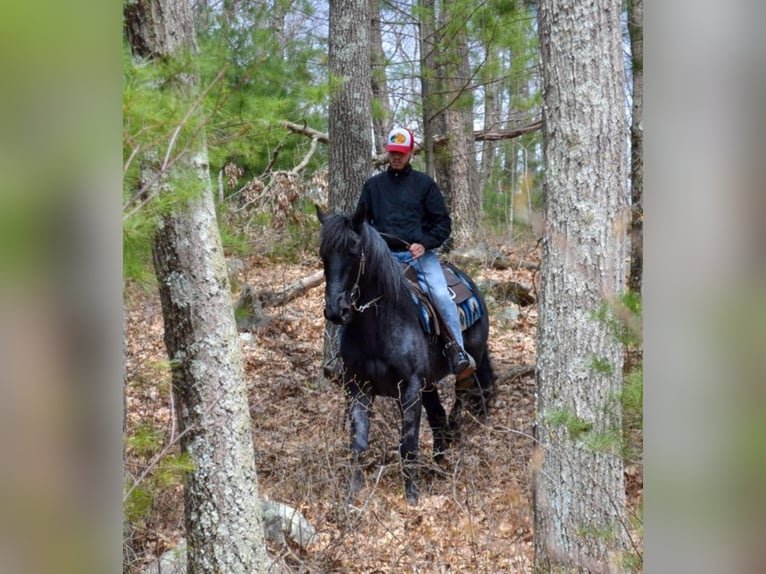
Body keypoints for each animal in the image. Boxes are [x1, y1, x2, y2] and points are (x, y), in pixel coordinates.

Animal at [318, 205, 498, 506]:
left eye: (354, 251)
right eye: (323, 254)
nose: (336, 311)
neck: (379, 325)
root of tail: (470, 283)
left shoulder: (410, 387)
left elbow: (409, 443)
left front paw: (412, 496)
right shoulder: (359, 387)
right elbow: (358, 444)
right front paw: (352, 495)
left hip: (465, 367)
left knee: (458, 407)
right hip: (428, 383)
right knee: (437, 418)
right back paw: (437, 465)